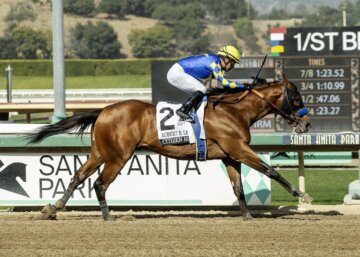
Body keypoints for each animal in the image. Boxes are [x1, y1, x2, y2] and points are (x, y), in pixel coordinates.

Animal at [28, 74, 310, 220]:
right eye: (296, 98)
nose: (306, 123)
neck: (234, 111)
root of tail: (102, 111)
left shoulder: (230, 155)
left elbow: (238, 187)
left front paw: (248, 217)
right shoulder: (239, 149)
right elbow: (270, 171)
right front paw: (301, 195)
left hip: (100, 153)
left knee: (78, 176)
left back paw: (53, 208)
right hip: (118, 157)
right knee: (99, 183)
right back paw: (108, 217)